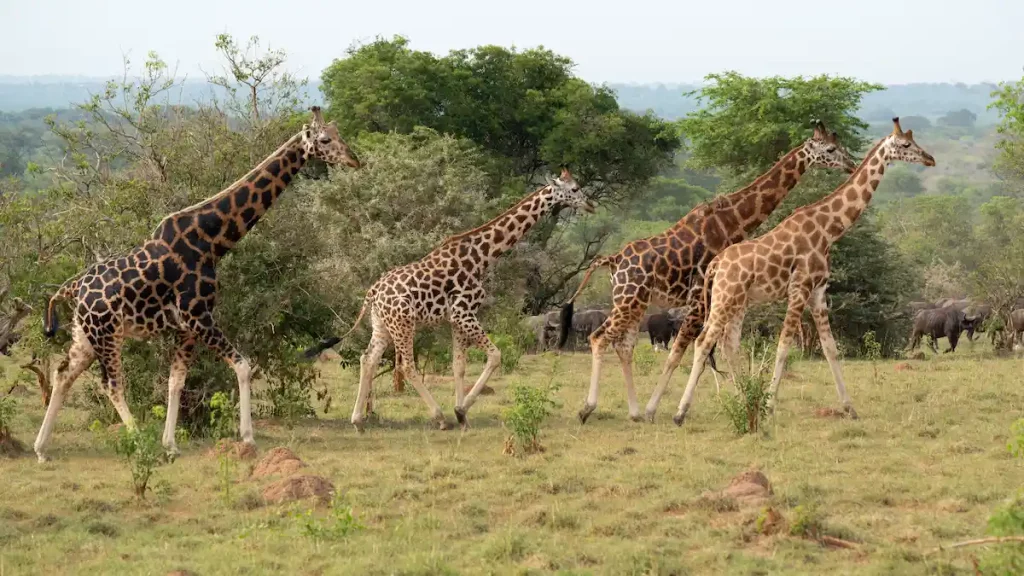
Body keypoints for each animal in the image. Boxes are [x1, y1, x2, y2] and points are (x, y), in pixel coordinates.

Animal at [33, 107, 360, 462]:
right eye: (325, 139)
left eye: (338, 134)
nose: (354, 160)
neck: (212, 243)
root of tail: (71, 289)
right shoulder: (198, 316)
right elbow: (243, 365)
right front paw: (247, 438)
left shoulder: (186, 327)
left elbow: (176, 381)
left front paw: (171, 444)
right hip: (107, 333)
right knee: (112, 384)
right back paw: (139, 441)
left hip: (85, 335)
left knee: (63, 373)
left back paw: (41, 449)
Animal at [305, 169, 594, 431]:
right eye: (575, 188)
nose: (591, 205)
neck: (482, 257)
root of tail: (372, 293)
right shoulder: (463, 312)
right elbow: (495, 355)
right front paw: (459, 410)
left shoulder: (455, 319)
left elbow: (459, 366)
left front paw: (462, 413)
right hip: (403, 323)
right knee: (406, 366)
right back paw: (439, 418)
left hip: (382, 325)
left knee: (368, 359)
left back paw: (358, 421)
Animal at [557, 122, 857, 424]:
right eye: (830, 149)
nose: (852, 164)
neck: (730, 221)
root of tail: (613, 260)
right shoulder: (700, 298)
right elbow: (683, 351)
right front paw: (662, 409)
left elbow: (716, 350)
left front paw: (737, 400)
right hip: (629, 300)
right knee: (599, 338)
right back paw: (589, 408)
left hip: (634, 303)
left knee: (623, 346)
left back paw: (634, 412)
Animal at [671, 118, 936, 426]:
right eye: (905, 144)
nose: (930, 159)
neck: (828, 230)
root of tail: (715, 265)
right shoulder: (799, 288)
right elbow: (784, 345)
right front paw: (769, 407)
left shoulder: (818, 292)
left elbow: (830, 347)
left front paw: (850, 408)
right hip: (724, 299)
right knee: (703, 341)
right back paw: (680, 413)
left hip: (736, 302)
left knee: (727, 344)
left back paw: (740, 401)